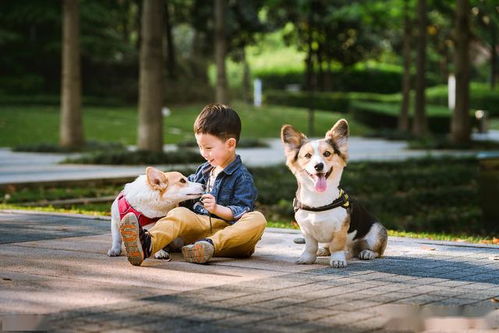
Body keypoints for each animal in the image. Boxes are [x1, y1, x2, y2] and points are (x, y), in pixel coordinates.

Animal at [282, 119, 386, 268]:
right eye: (308, 156)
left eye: (327, 153)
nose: (318, 166)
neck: (318, 200)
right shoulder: (306, 230)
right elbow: (310, 246)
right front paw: (307, 258)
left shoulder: (340, 230)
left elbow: (337, 246)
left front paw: (337, 260)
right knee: (328, 247)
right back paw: (323, 250)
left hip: (376, 233)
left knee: (377, 251)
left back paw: (367, 253)